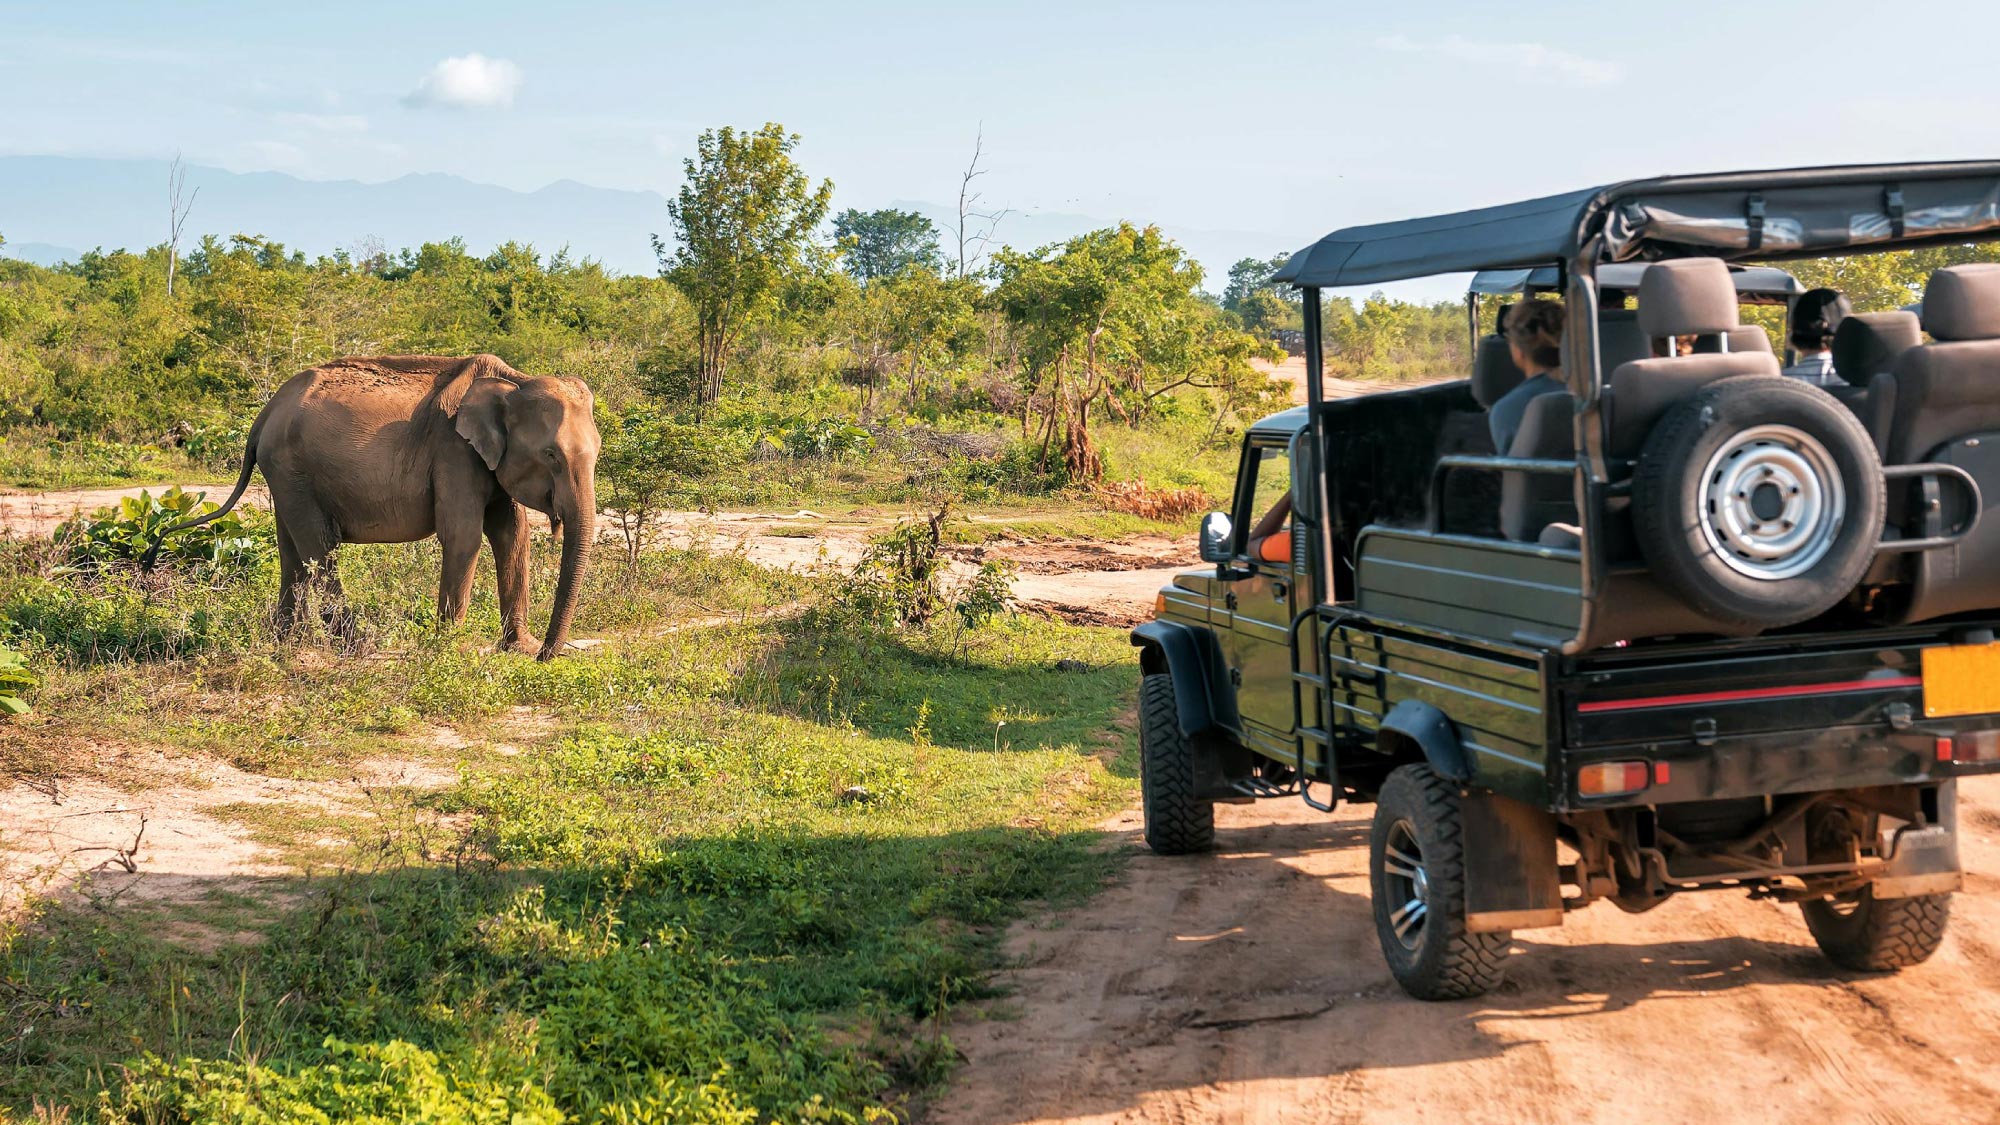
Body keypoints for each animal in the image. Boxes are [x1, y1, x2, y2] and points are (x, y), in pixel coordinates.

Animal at [155, 352, 596, 656]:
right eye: (551, 456)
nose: (546, 656)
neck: (513, 380)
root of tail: (264, 414)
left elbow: (511, 535)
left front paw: (519, 647)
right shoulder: (454, 451)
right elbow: (464, 537)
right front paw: (448, 649)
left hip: (284, 476)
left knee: (291, 552)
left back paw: (288, 643)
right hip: (291, 469)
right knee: (320, 546)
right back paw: (356, 644)